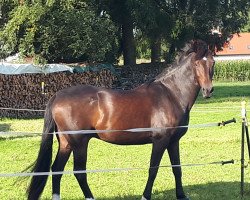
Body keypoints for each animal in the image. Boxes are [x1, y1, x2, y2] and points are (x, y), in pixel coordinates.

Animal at [27, 39, 215, 199]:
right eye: (197, 63)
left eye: (212, 62)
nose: (208, 90)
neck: (171, 94)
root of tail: (57, 95)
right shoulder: (160, 141)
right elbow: (153, 169)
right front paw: (145, 196)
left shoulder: (173, 141)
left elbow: (177, 169)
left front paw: (181, 195)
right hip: (79, 143)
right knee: (79, 172)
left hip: (66, 143)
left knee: (57, 170)